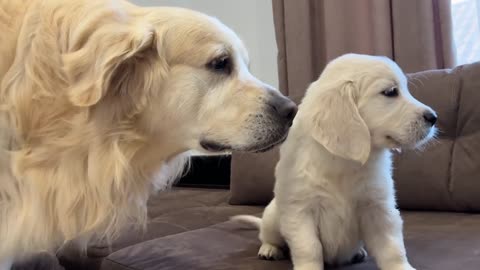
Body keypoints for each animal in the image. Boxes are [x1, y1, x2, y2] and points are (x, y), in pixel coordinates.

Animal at [232, 53, 438, 270]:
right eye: (390, 92)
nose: (434, 117)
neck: (343, 161)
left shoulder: (378, 208)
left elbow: (392, 247)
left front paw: (401, 266)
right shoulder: (299, 211)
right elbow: (309, 247)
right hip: (272, 216)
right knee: (267, 235)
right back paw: (269, 249)